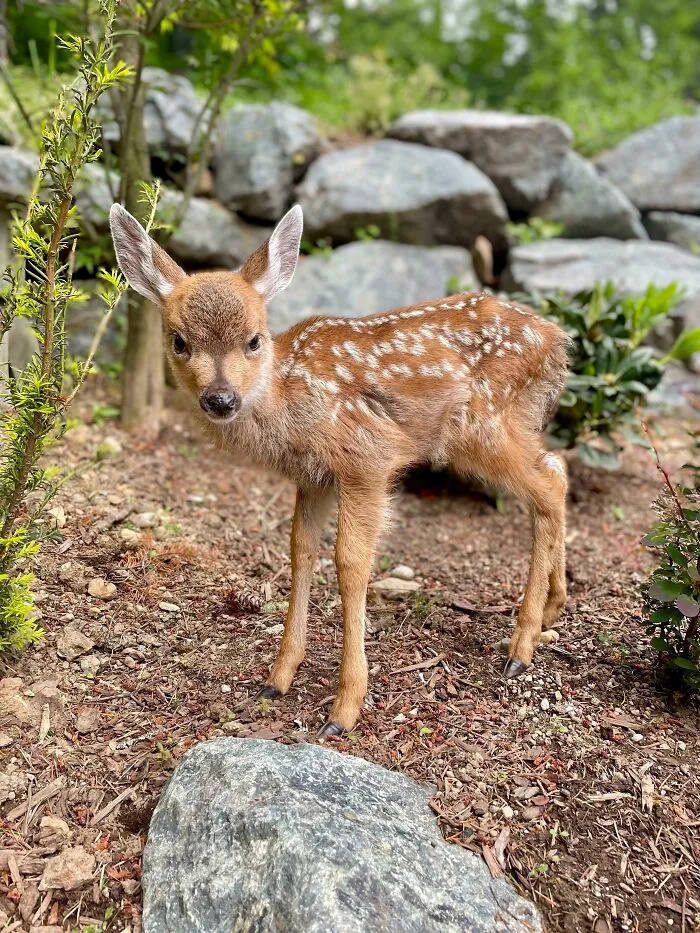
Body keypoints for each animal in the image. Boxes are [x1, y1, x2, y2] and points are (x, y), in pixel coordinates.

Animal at [109, 202, 570, 738]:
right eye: (179, 341)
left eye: (254, 340)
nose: (221, 399)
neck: (290, 400)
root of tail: (558, 342)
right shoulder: (313, 478)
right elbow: (300, 551)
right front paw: (277, 678)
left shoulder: (367, 458)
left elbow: (350, 563)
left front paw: (344, 708)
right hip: (508, 424)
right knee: (556, 468)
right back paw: (552, 609)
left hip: (483, 426)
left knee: (547, 484)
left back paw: (521, 648)